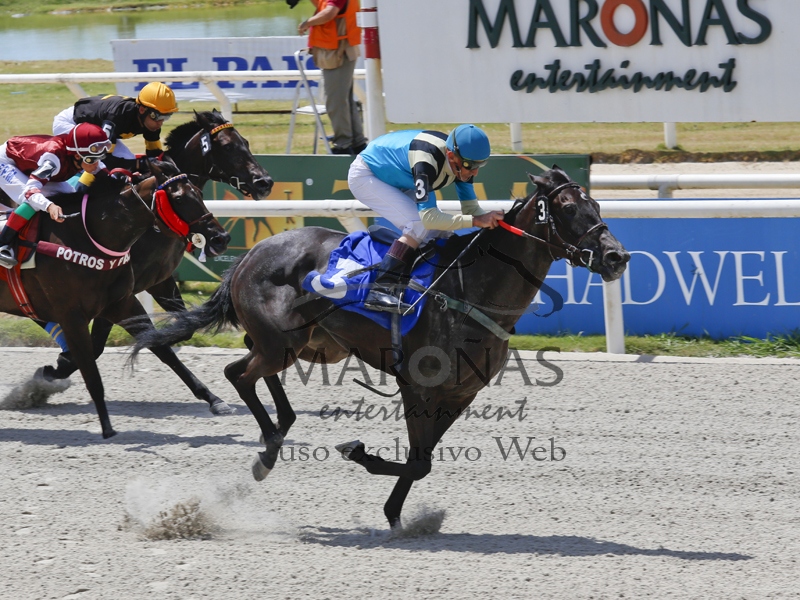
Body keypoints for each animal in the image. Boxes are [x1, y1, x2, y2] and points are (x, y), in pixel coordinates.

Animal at [0, 160, 226, 439]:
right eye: (179, 198)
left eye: (199, 191)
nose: (220, 237)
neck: (88, 237)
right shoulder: (72, 316)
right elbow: (92, 371)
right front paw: (107, 427)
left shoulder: (123, 303)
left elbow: (162, 348)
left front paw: (213, 399)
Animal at [36, 110, 274, 415]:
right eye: (229, 146)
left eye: (246, 141)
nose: (264, 182)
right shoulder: (116, 288)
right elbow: (105, 344)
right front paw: (58, 367)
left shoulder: (159, 280)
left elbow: (180, 330)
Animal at [131, 166, 631, 527]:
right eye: (567, 207)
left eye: (596, 202)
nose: (617, 256)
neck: (471, 290)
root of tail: (250, 254)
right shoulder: (418, 386)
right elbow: (418, 461)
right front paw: (358, 454)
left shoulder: (460, 394)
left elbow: (421, 461)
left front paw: (394, 514)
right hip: (282, 342)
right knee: (238, 373)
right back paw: (268, 450)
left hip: (310, 344)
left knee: (259, 373)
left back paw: (278, 432)